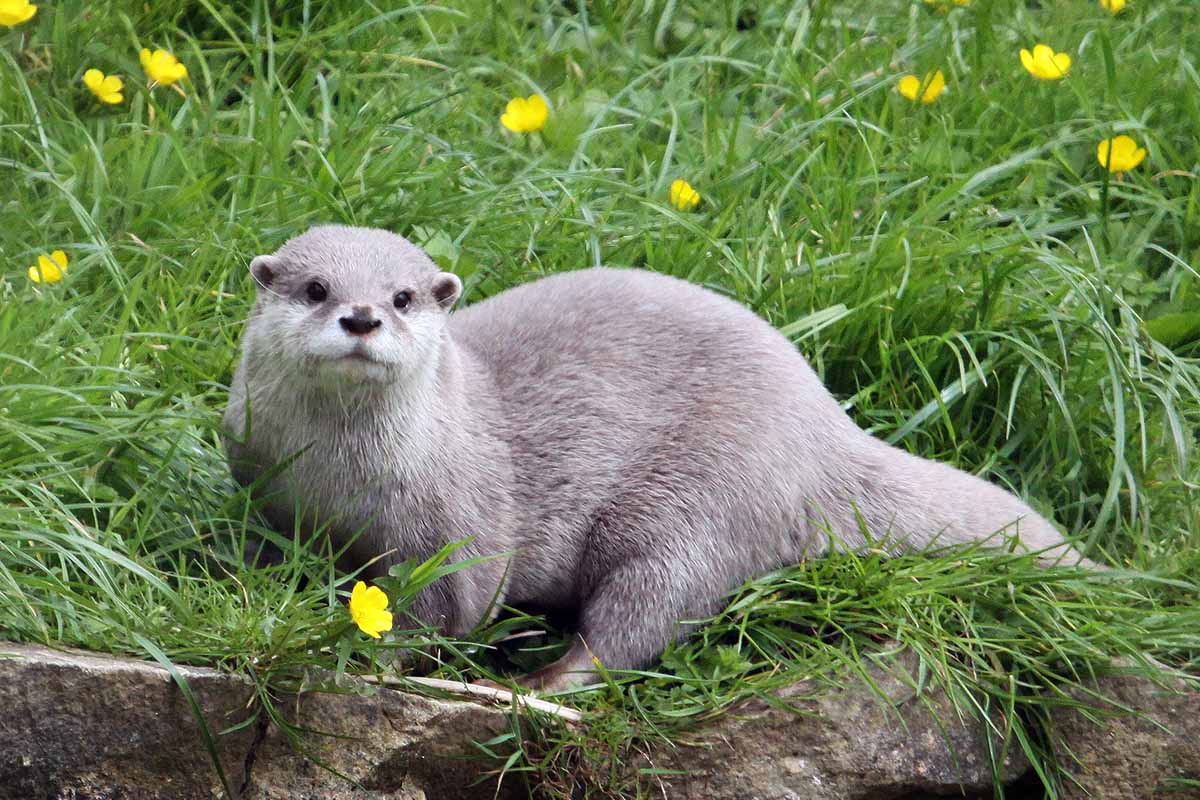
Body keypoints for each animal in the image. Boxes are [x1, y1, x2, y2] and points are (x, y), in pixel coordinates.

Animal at [224, 225, 1090, 690]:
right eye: (314, 287)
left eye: (403, 297)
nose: (363, 316)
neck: (339, 483)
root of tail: (825, 427)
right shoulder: (260, 486)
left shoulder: (461, 525)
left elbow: (446, 610)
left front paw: (370, 660)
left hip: (695, 505)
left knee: (642, 617)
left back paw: (545, 681)